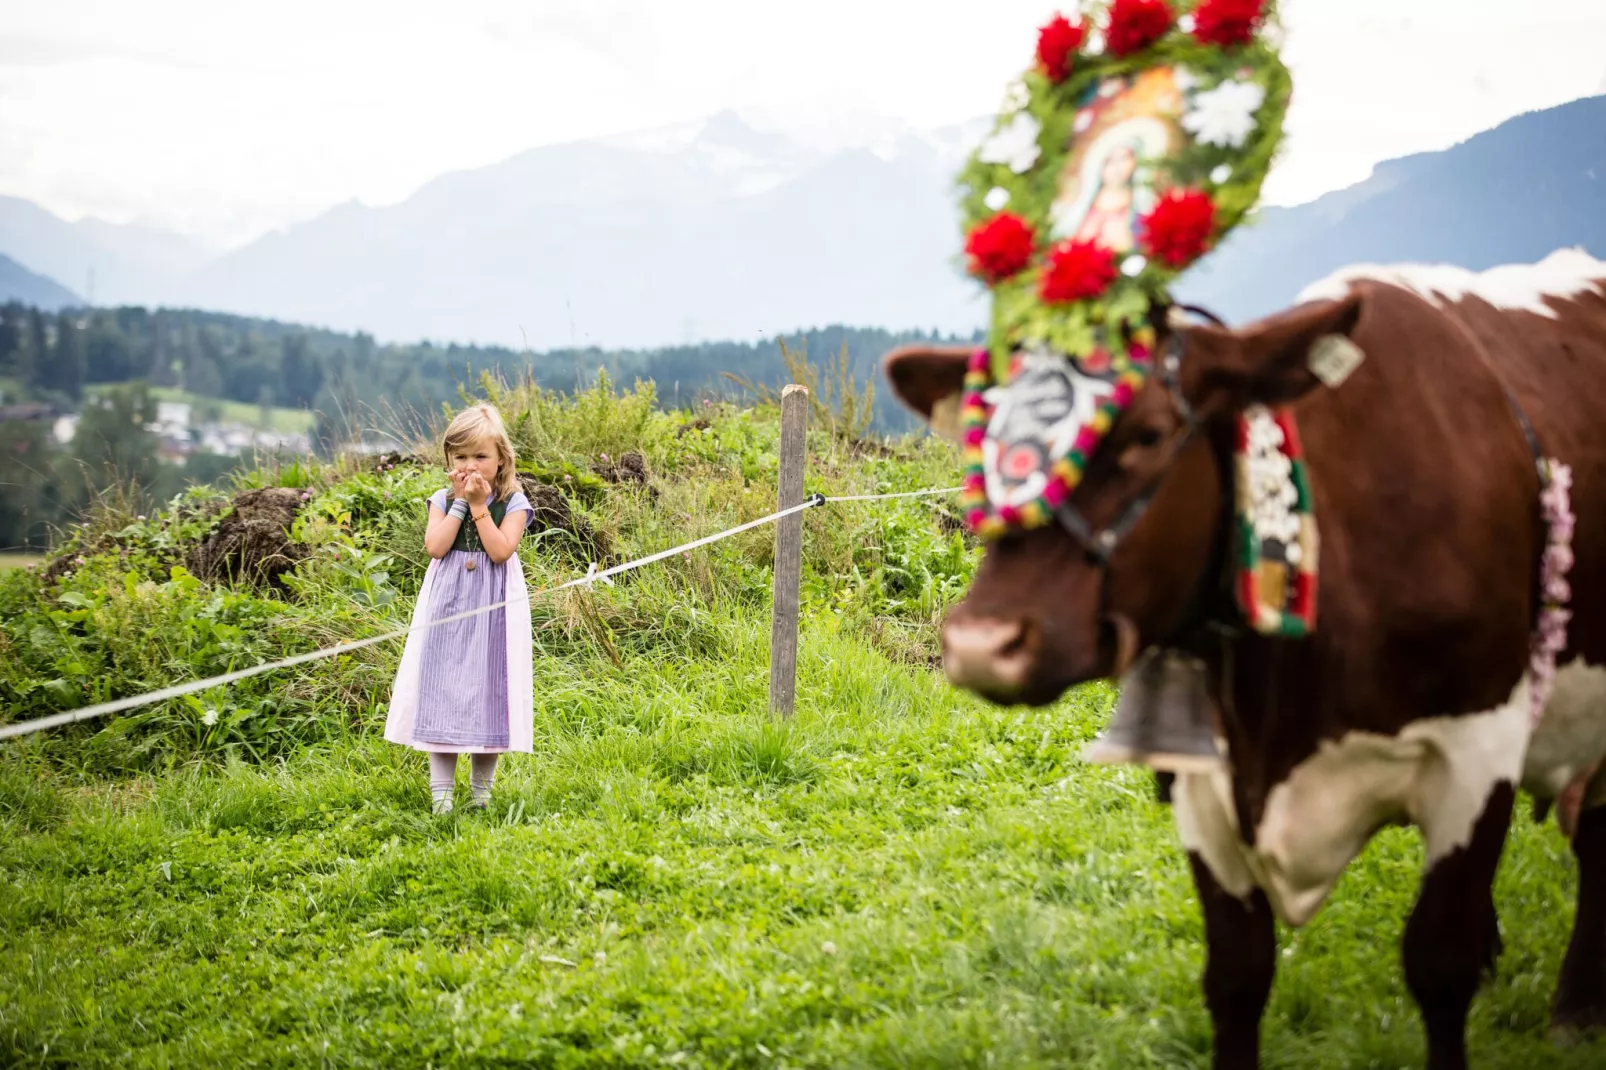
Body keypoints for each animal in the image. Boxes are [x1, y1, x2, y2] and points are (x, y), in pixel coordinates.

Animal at [886, 245, 1606, 1060]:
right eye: (979, 436)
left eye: (1151, 434)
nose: (982, 645)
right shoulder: (1204, 785)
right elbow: (1236, 975)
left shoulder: (1477, 753)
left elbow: (1438, 965)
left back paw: (1577, 1007)